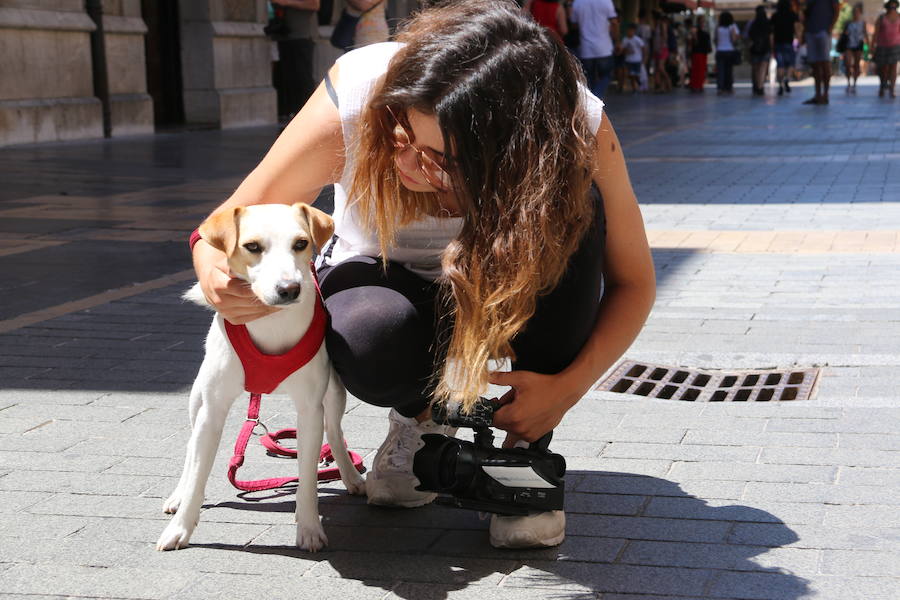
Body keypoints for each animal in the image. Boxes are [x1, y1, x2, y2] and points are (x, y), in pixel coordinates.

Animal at [157, 203, 366, 552]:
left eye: (301, 243)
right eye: (252, 246)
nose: (289, 289)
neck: (271, 323)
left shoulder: (310, 410)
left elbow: (307, 477)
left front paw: (309, 529)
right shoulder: (212, 411)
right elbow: (199, 473)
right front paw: (180, 528)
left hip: (334, 392)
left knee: (335, 434)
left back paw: (351, 476)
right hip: (197, 397)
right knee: (191, 446)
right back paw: (178, 494)